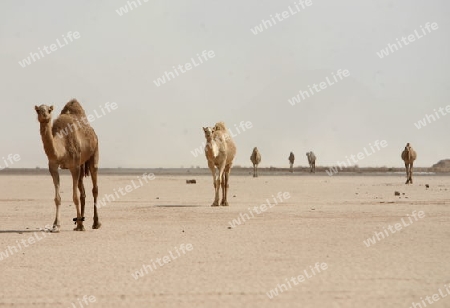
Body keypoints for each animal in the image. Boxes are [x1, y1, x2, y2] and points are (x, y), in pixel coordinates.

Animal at [34, 98, 101, 231]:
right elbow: (57, 198)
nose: (44, 115)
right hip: (81, 163)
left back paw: (95, 223)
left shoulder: (74, 167)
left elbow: (75, 197)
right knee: (83, 193)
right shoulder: (53, 167)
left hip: (94, 152)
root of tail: (93, 132)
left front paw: (80, 225)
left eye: (49, 110)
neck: (62, 146)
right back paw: (80, 221)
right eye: (38, 110)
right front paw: (56, 225)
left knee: (94, 188)